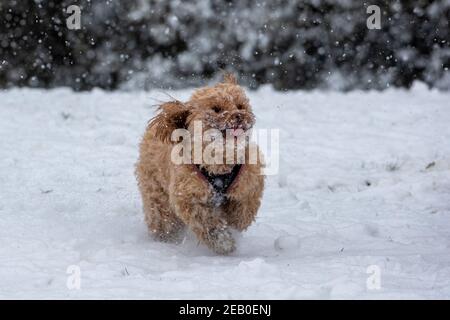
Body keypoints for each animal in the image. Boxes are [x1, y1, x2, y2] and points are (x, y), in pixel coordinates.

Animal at [135, 74, 266, 254]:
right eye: (216, 109)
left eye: (240, 106)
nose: (239, 115)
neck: (219, 161)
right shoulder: (189, 196)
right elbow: (206, 222)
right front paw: (223, 241)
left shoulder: (249, 180)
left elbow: (245, 206)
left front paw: (235, 222)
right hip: (157, 195)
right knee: (163, 217)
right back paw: (164, 237)